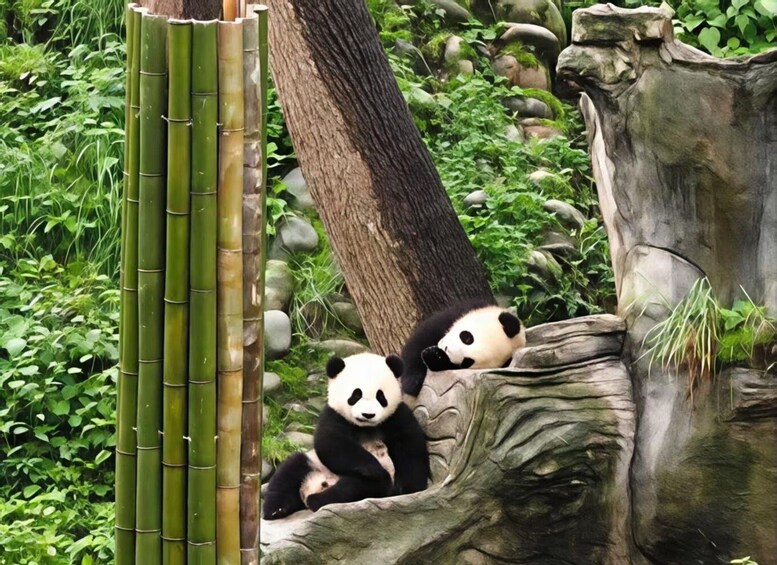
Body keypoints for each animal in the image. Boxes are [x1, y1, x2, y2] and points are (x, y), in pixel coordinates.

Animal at [262, 352, 430, 520]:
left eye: (380, 396)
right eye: (356, 395)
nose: (368, 415)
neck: (365, 427)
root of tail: (315, 485)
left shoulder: (397, 415)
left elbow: (410, 444)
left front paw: (410, 487)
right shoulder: (333, 415)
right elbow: (330, 443)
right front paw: (372, 467)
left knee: (354, 488)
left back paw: (318, 499)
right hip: (313, 461)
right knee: (289, 470)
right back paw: (275, 509)